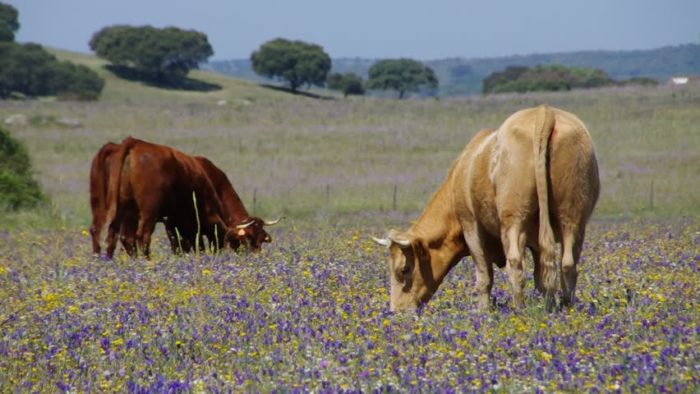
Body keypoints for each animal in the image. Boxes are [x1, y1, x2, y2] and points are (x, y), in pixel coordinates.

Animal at [102, 137, 237, 260]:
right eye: (221, 238)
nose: (219, 254)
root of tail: (135, 143)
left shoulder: (174, 223)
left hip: (124, 211)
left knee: (118, 237)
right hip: (148, 212)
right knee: (142, 236)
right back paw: (147, 261)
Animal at [374, 106, 600, 312]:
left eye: (404, 269)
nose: (396, 311)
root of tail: (544, 112)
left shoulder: (471, 227)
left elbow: (484, 277)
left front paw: (483, 312)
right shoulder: (537, 241)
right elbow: (541, 279)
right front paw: (548, 306)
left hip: (514, 220)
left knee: (515, 263)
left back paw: (519, 309)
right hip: (573, 218)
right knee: (568, 264)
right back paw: (568, 309)